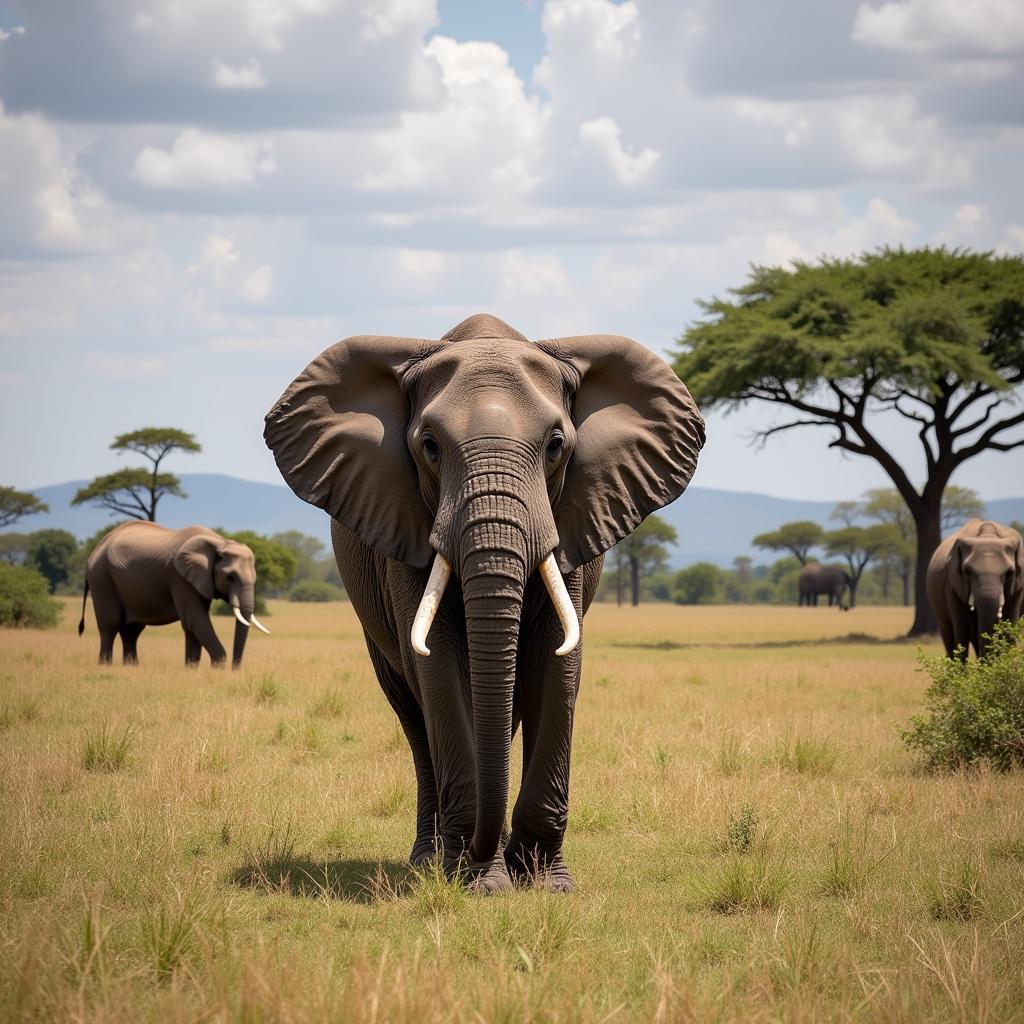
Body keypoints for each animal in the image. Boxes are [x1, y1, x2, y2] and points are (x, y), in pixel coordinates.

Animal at [79, 524, 270, 667]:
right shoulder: (179, 578)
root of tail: (95, 550)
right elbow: (195, 619)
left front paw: (191, 668)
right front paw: (218, 666)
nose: (234, 669)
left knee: (131, 630)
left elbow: (192, 625)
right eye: (230, 577)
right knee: (109, 625)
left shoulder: (197, 579)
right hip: (101, 576)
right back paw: (106, 665)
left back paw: (131, 666)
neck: (220, 542)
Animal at [264, 309, 704, 888]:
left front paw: (544, 883)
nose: (479, 851)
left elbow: (557, 663)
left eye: (556, 444)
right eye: (429, 445)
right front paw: (479, 881)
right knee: (412, 712)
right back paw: (429, 859)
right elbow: (438, 665)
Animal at [925, 516, 1019, 659]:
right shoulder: (952, 582)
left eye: (1009, 572)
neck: (987, 535)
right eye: (968, 571)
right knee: (950, 631)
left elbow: (1009, 627)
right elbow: (962, 628)